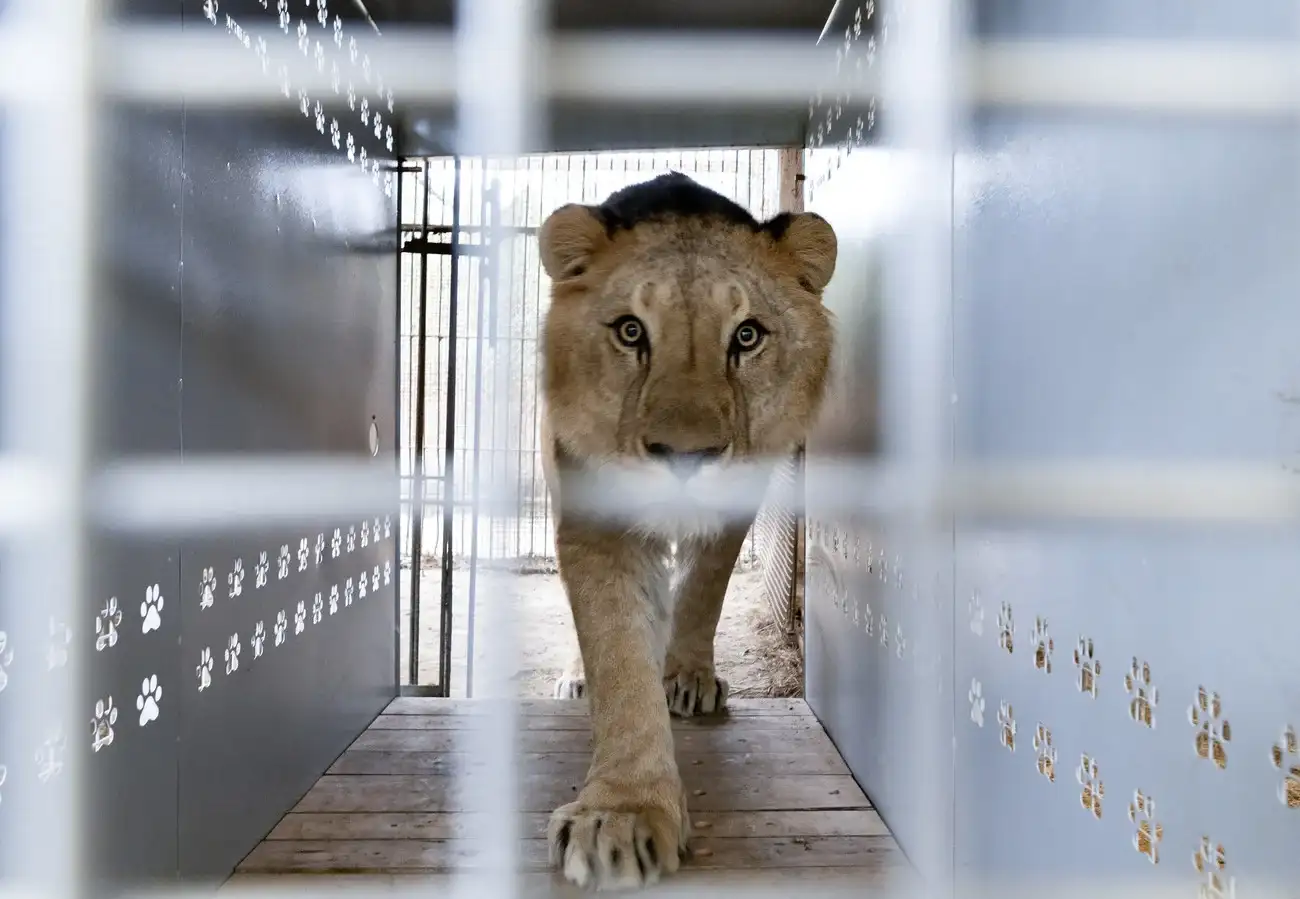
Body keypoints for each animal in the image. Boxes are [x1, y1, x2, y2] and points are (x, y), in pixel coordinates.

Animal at [536, 171, 837, 890]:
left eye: (748, 336)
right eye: (630, 331)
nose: (684, 456)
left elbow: (703, 589)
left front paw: (687, 676)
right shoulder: (595, 516)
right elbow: (617, 652)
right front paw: (622, 814)